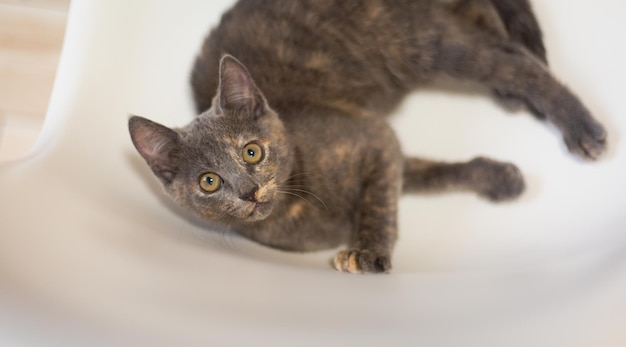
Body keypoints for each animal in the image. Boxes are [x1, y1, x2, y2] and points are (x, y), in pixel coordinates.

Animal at [128, 0, 604, 274]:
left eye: (251, 151)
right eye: (209, 181)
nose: (249, 191)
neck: (298, 206)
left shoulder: (373, 138)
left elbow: (380, 202)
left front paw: (368, 250)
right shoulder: (387, 150)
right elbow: (430, 175)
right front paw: (500, 179)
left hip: (421, 42)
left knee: (517, 63)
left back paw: (582, 129)